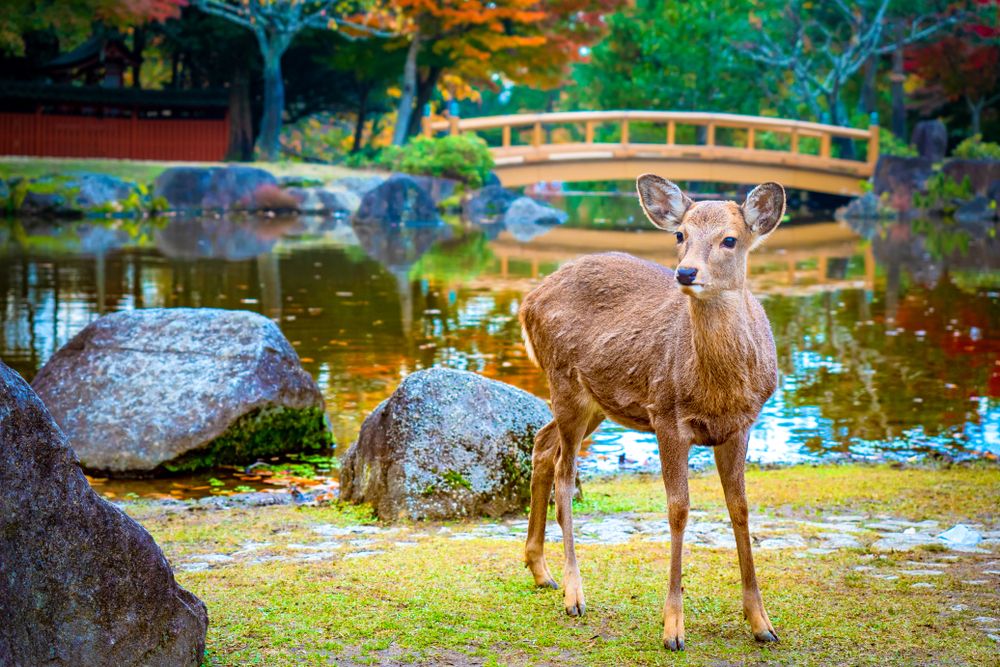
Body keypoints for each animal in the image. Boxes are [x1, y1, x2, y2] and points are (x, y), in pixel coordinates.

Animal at [518, 174, 785, 651]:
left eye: (730, 239)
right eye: (680, 235)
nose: (686, 272)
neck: (716, 389)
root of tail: (526, 302)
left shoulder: (742, 424)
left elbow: (740, 508)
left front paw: (762, 623)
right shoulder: (666, 416)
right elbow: (678, 510)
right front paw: (673, 628)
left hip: (595, 403)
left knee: (543, 443)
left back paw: (540, 571)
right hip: (564, 382)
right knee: (566, 475)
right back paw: (573, 593)